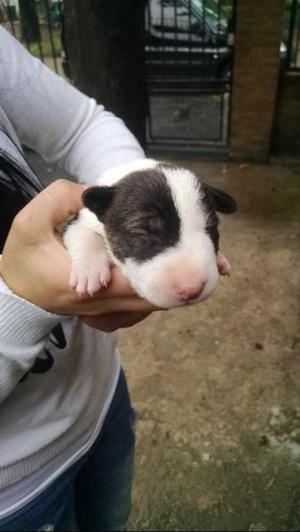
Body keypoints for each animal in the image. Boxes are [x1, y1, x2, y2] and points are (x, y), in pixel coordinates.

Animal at [63, 159, 237, 308]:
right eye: (143, 232)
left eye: (211, 227)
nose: (192, 289)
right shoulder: (80, 218)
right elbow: (84, 233)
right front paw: (88, 272)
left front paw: (221, 259)